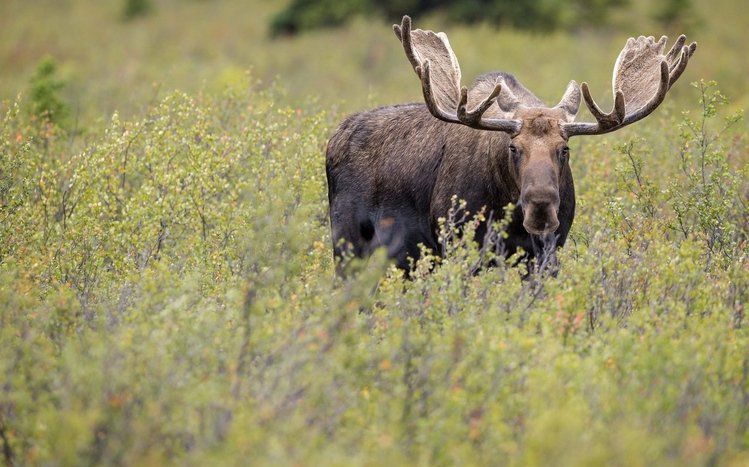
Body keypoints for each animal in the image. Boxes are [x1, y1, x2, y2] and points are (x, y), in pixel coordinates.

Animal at [326, 15, 697, 273]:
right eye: (513, 148)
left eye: (564, 149)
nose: (541, 206)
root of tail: (334, 138)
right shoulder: (460, 246)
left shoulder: (546, 253)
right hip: (347, 243)